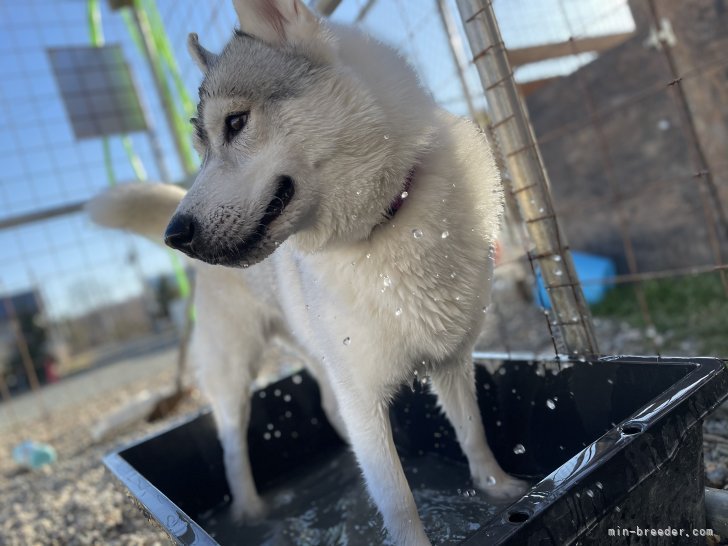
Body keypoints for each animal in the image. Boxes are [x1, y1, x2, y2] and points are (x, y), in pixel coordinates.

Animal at [91, 2, 528, 540]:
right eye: (201, 148)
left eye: (236, 123)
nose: (175, 235)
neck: (387, 221)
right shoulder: (362, 395)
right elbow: (400, 502)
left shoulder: (450, 360)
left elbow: (473, 433)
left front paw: (499, 489)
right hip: (233, 372)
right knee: (233, 447)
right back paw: (250, 513)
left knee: (326, 409)